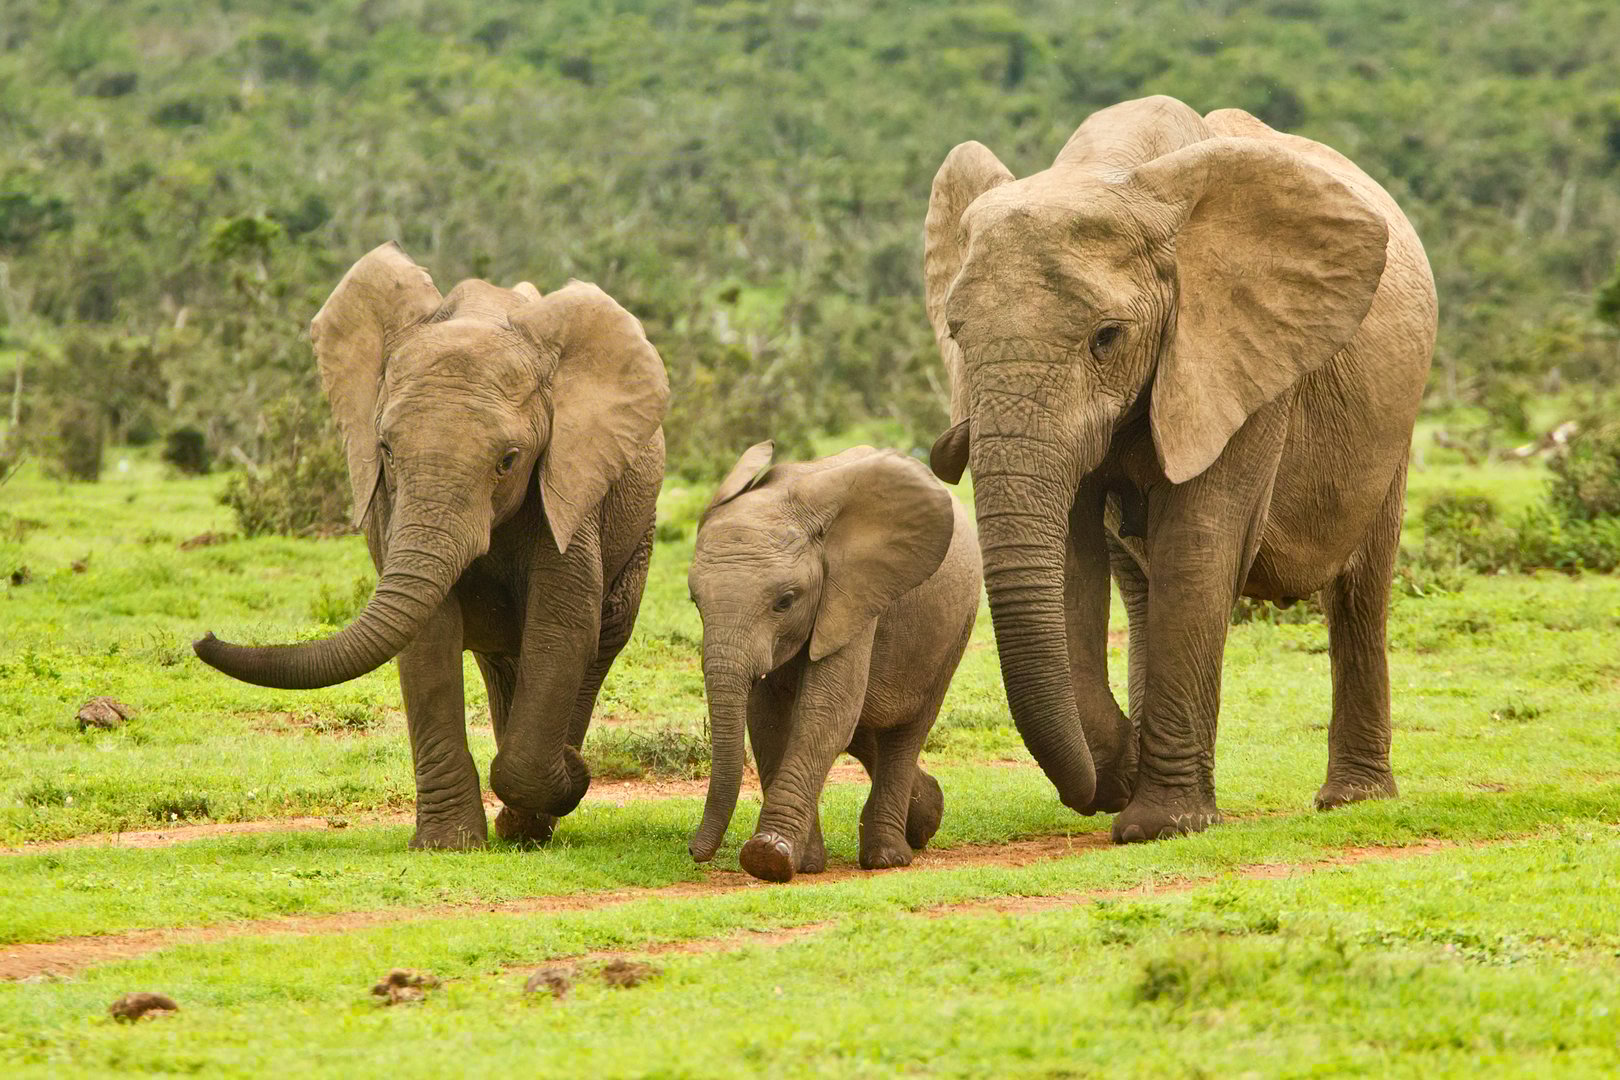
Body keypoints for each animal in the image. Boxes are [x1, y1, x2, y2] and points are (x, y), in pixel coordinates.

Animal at [193, 242, 669, 850]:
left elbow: (563, 627)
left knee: (597, 643)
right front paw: (449, 846)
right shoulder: (389, 505)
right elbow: (427, 637)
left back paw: (535, 812)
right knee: (504, 662)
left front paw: (563, 780)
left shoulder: (570, 490)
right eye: (386, 450)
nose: (203, 636)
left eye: (509, 461)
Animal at [686, 441, 981, 883]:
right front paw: (802, 863)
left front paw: (768, 857)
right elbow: (769, 721)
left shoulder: (853, 594)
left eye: (785, 602)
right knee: (865, 728)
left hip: (955, 627)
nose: (693, 850)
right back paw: (927, 817)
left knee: (905, 731)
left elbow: (824, 713)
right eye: (695, 601)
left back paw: (888, 857)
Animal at [923, 96, 1436, 843]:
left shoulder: (1238, 354)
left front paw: (1162, 825)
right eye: (956, 335)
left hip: (1394, 421)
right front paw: (1126, 774)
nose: (1105, 783)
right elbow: (1075, 557)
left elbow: (1200, 544)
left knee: (1360, 590)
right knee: (1140, 586)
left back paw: (1353, 800)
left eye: (1106, 337)